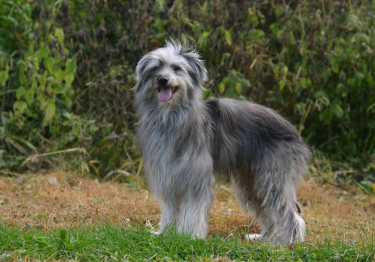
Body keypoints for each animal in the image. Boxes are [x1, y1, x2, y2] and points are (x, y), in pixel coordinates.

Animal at [132, 40, 312, 245]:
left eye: (176, 68)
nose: (162, 80)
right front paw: (166, 233)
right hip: (251, 182)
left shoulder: (197, 178)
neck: (171, 118)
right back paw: (264, 238)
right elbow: (170, 209)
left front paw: (188, 236)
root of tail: (293, 130)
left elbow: (193, 211)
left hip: (273, 177)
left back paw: (285, 241)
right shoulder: (169, 175)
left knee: (288, 214)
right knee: (268, 210)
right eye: (155, 68)